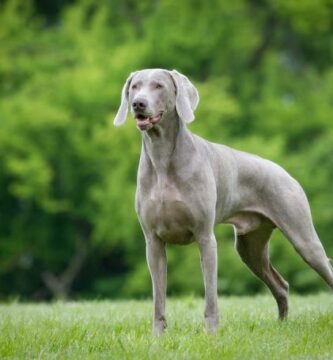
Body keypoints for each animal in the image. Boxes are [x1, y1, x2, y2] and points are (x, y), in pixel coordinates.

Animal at [113, 69, 330, 336]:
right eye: (134, 86)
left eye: (159, 86)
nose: (138, 104)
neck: (162, 158)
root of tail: (284, 171)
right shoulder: (153, 241)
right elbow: (158, 298)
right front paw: (158, 337)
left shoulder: (205, 237)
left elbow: (211, 295)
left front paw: (211, 334)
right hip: (249, 247)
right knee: (281, 284)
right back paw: (281, 325)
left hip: (304, 238)